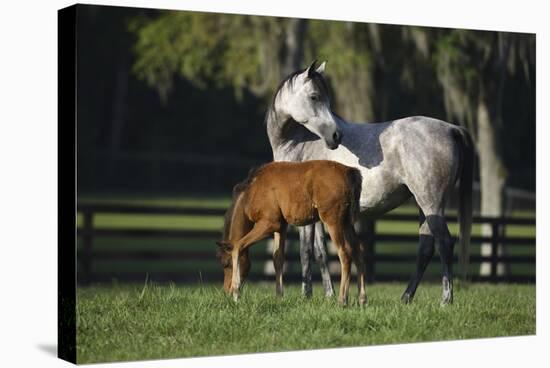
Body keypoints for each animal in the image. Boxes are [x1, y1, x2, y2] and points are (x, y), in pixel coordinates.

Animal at [268, 60, 474, 304]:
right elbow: (319, 252)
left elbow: (305, 251)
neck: (298, 142)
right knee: (426, 247)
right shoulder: (316, 215)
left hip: (431, 202)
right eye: (315, 97)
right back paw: (406, 297)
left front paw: (306, 295)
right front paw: (328, 294)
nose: (336, 136)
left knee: (444, 243)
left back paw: (445, 300)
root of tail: (452, 128)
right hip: (424, 206)